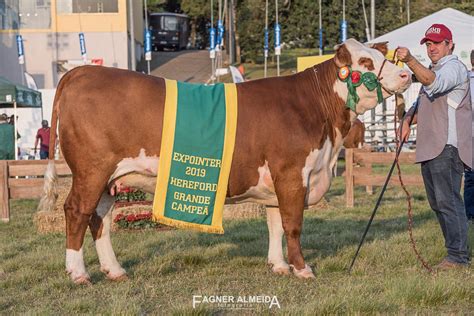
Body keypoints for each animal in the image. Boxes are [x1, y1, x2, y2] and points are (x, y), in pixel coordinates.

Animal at [39, 39, 412, 284]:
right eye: (365, 63)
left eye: (380, 55)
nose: (407, 76)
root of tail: (81, 73)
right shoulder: (292, 173)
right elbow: (292, 225)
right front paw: (302, 268)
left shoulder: (275, 180)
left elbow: (274, 224)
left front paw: (278, 265)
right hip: (91, 170)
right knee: (77, 211)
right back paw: (78, 273)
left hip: (109, 177)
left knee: (99, 217)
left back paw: (114, 271)